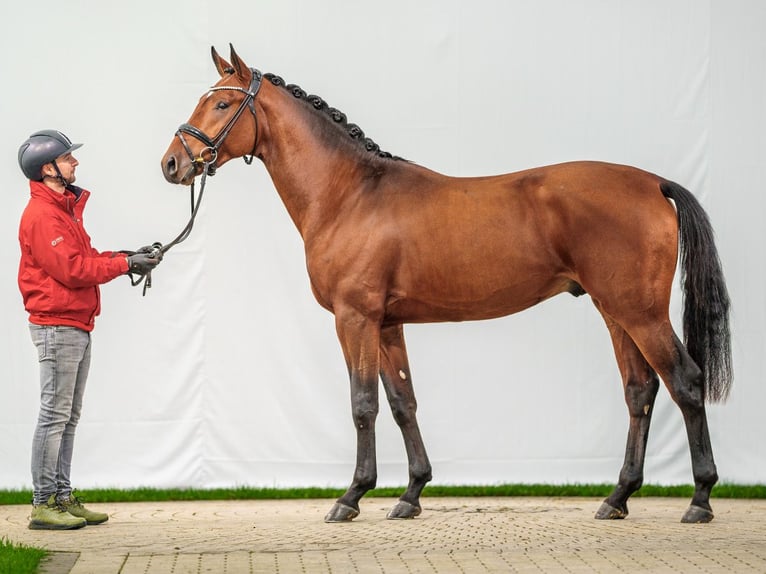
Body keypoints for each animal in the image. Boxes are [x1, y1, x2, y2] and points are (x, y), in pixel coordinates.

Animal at [160, 45, 732, 528]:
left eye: (223, 103)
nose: (172, 163)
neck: (350, 194)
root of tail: (653, 183)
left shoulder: (355, 318)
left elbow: (362, 404)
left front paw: (351, 497)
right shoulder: (387, 324)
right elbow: (402, 402)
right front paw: (411, 494)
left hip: (640, 313)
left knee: (685, 382)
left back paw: (700, 500)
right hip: (615, 312)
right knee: (640, 391)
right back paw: (617, 498)